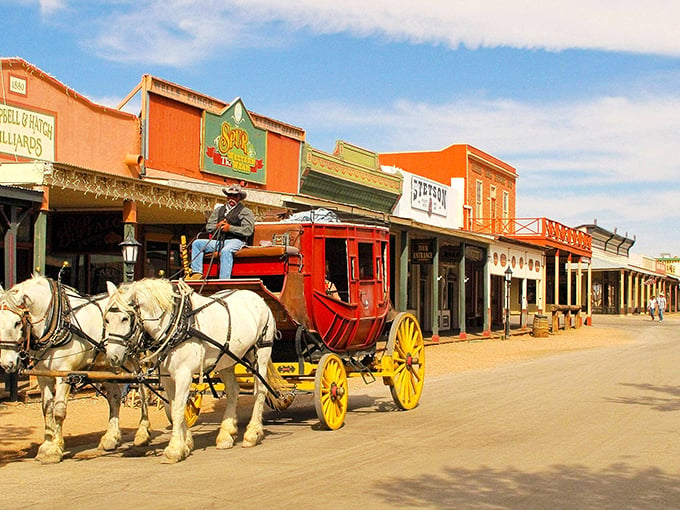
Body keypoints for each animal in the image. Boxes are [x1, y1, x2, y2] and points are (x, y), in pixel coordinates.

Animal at [0, 276, 150, 464]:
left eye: (17, 323)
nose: (6, 363)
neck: (57, 322)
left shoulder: (65, 374)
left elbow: (58, 411)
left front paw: (55, 449)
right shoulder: (44, 376)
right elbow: (46, 409)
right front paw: (46, 446)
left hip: (135, 361)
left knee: (143, 390)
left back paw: (143, 433)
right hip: (108, 364)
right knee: (114, 398)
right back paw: (111, 437)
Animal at [103, 276, 284, 464]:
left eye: (124, 318)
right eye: (106, 319)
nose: (112, 357)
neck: (176, 324)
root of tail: (257, 297)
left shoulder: (184, 373)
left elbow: (178, 409)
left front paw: (174, 449)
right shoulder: (167, 377)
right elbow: (175, 406)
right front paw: (186, 443)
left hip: (261, 351)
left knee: (260, 390)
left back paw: (252, 433)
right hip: (227, 358)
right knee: (233, 391)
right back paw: (226, 434)